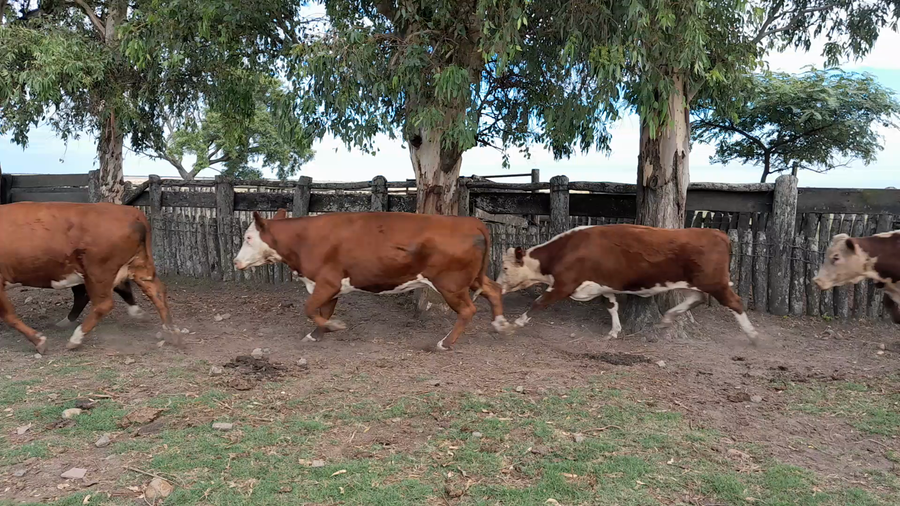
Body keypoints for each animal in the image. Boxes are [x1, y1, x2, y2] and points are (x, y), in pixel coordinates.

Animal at [0, 202, 174, 353]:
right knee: (156, 292)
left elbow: (8, 315)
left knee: (102, 304)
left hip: (98, 272)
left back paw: (76, 338)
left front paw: (39, 341)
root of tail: (133, 213)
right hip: (138, 266)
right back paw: (172, 332)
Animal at [232, 209, 511, 351]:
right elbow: (322, 310)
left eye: (248, 237)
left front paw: (334, 326)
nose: (235, 262)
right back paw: (500, 324)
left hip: (450, 284)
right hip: (471, 278)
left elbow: (310, 308)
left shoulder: (327, 282)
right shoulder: (330, 286)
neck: (303, 239)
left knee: (468, 310)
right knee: (494, 289)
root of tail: (470, 221)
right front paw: (317, 334)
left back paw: (444, 343)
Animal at [495, 224, 760, 343]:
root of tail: (718, 233)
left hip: (715, 282)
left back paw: (752, 334)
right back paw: (668, 317)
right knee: (697, 298)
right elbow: (612, 306)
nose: (497, 286)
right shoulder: (603, 285)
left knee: (735, 302)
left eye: (505, 268)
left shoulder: (565, 284)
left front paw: (513, 324)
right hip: (694, 282)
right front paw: (614, 330)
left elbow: (539, 303)